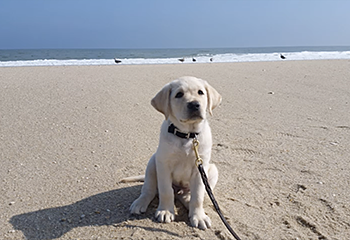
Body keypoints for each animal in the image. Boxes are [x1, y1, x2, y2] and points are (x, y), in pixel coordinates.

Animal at [123, 76, 221, 230]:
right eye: (179, 94)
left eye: (200, 92)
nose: (194, 105)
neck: (187, 135)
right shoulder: (163, 164)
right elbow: (166, 191)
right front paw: (165, 211)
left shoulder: (200, 167)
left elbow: (198, 195)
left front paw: (198, 216)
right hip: (152, 162)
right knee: (149, 190)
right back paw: (140, 202)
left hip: (212, 170)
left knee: (189, 195)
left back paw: (187, 201)